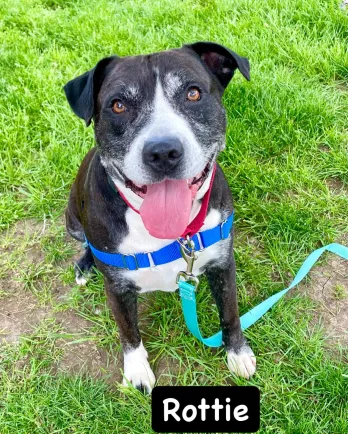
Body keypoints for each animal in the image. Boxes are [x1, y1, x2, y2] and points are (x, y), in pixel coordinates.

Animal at [64, 41, 256, 394]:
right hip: (71, 220)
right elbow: (128, 332)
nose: (163, 151)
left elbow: (230, 312)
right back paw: (85, 266)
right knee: (83, 242)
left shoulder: (223, 263)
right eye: (118, 105)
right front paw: (137, 371)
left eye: (193, 94)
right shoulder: (117, 288)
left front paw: (237, 352)